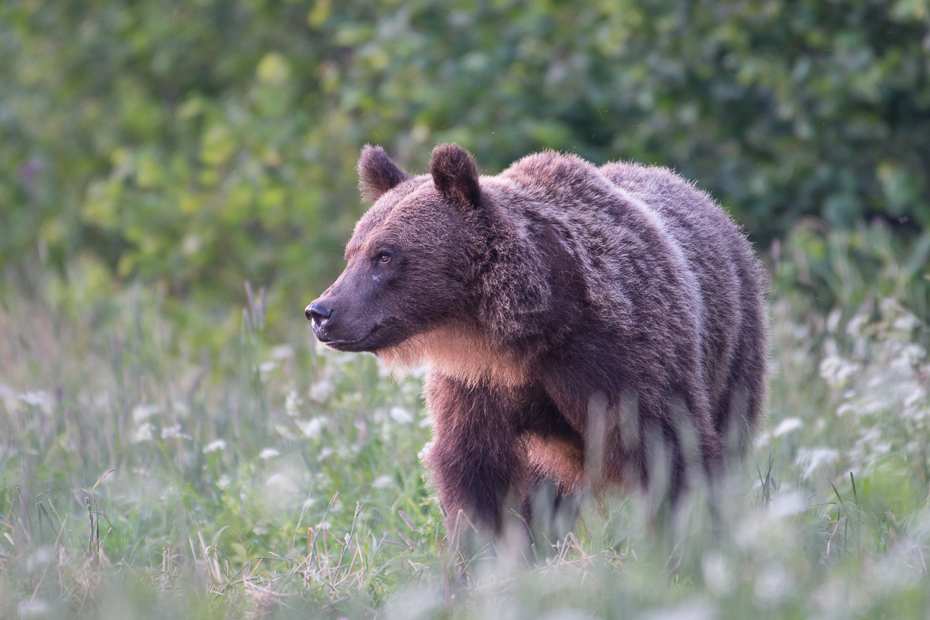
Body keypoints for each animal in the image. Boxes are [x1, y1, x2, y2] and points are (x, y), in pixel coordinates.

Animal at [308, 143, 764, 544]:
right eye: (351, 252)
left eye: (384, 254)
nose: (321, 312)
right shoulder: (476, 385)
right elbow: (477, 477)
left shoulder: (623, 359)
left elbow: (671, 455)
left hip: (733, 348)